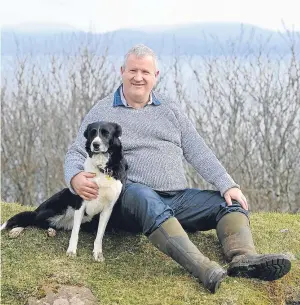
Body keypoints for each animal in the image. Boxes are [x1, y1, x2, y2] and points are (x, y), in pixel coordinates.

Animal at [0, 121, 127, 262]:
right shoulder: (81, 204)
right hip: (54, 209)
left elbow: (100, 235)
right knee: (31, 218)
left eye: (106, 133)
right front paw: (71, 251)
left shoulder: (107, 209)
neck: (102, 169)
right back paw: (17, 230)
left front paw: (97, 253)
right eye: (93, 133)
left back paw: (51, 231)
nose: (95, 144)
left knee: (42, 223)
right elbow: (75, 232)